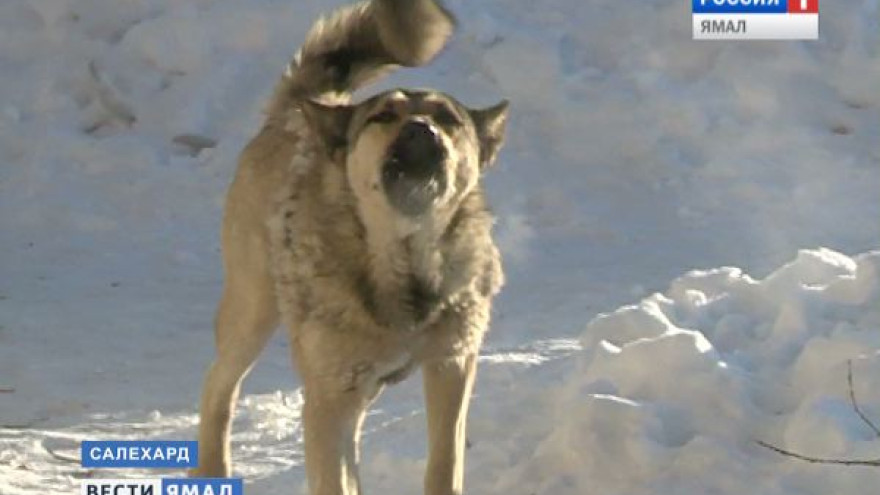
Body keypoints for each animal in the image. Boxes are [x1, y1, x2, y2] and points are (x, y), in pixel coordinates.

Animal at [192, 1, 508, 494]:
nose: (421, 129)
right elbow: (334, 475)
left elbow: (446, 461)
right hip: (253, 311)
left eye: (447, 118)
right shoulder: (329, 395)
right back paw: (211, 470)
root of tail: (304, 108)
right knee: (218, 386)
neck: (404, 262)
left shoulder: (452, 364)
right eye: (383, 116)